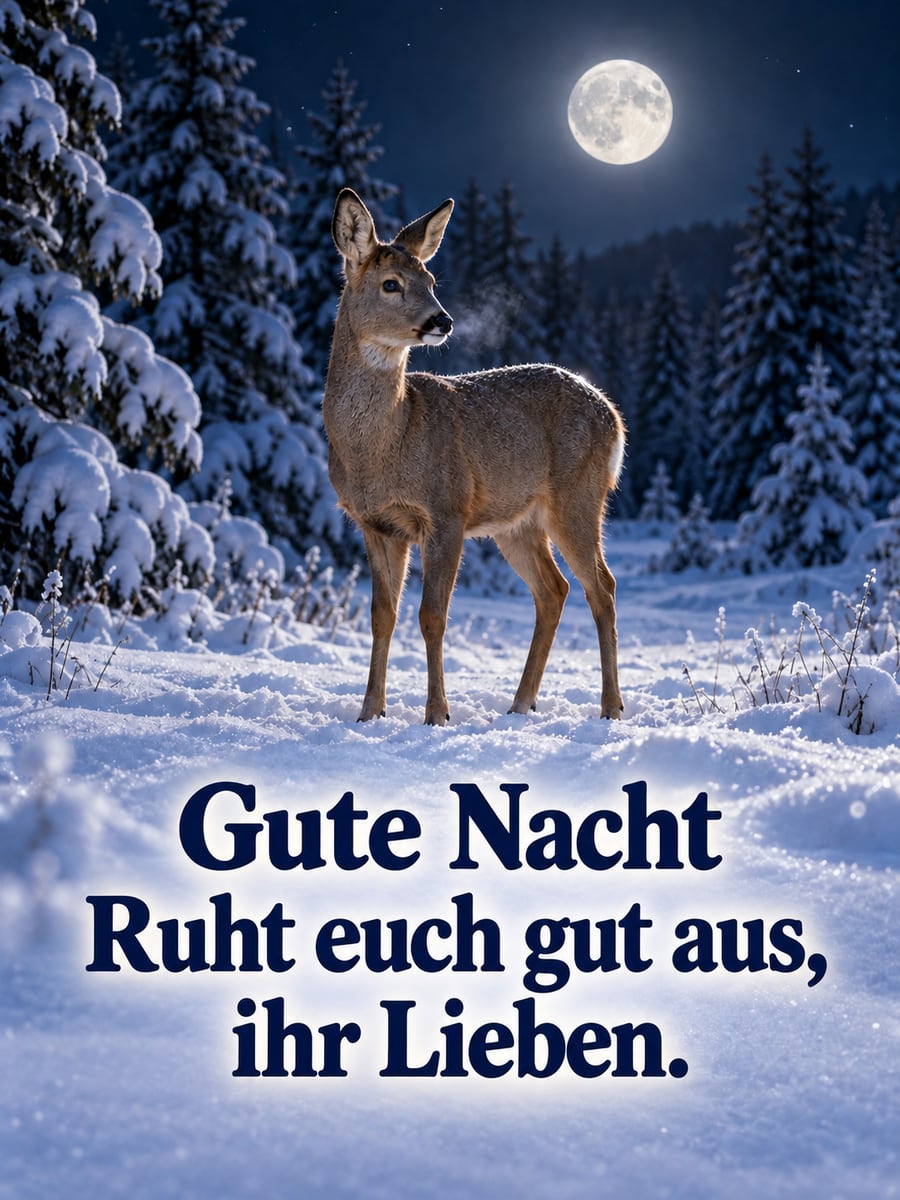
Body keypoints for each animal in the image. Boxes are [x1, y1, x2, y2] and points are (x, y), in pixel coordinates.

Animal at [323, 188, 626, 726]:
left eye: (431, 280)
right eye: (391, 283)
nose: (441, 320)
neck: (381, 447)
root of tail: (611, 414)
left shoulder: (446, 509)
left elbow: (431, 615)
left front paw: (436, 714)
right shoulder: (374, 524)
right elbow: (382, 616)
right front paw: (370, 712)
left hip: (578, 496)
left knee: (603, 588)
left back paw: (610, 707)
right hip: (516, 521)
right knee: (554, 590)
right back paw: (520, 703)